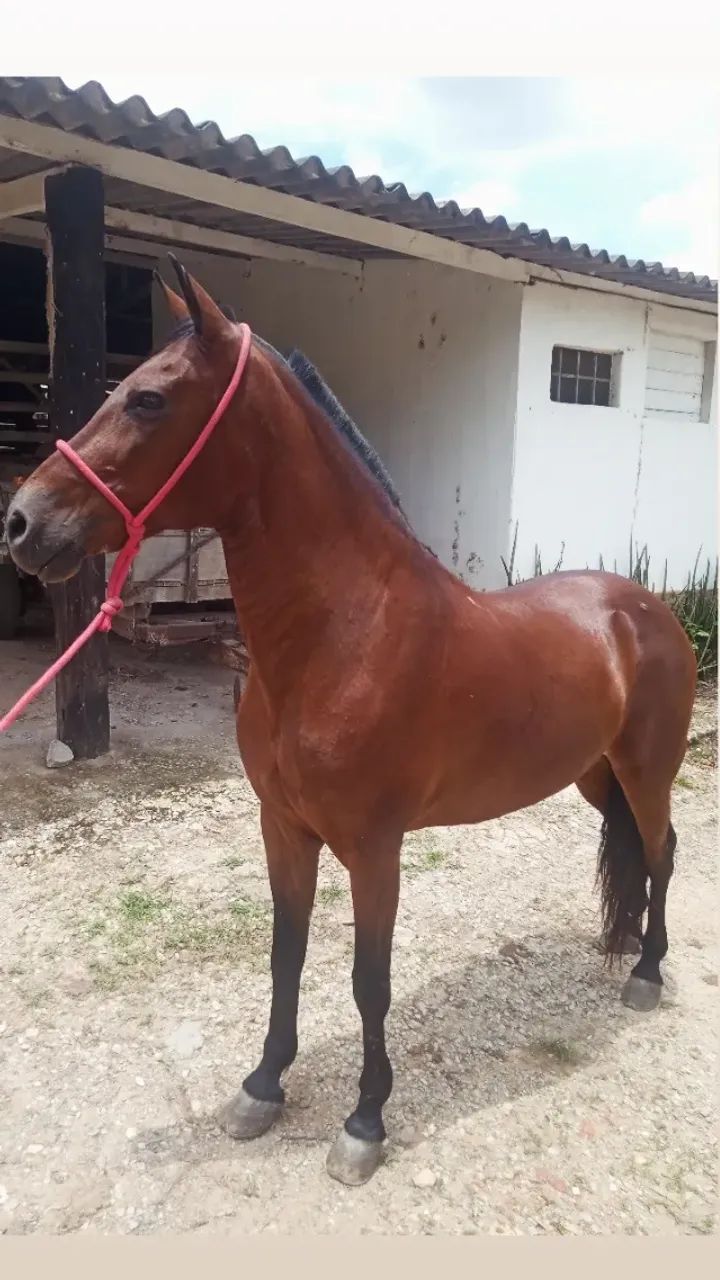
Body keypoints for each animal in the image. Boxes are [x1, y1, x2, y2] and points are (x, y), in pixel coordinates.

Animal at [4, 260, 697, 1187]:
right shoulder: (283, 827)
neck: (344, 635)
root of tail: (644, 608)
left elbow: (371, 978)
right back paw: (618, 942)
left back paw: (648, 971)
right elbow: (286, 953)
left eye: (148, 399)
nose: (23, 522)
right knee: (633, 850)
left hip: (646, 769)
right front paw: (263, 1086)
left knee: (662, 851)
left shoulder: (374, 846)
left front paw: (365, 1121)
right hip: (596, 774)